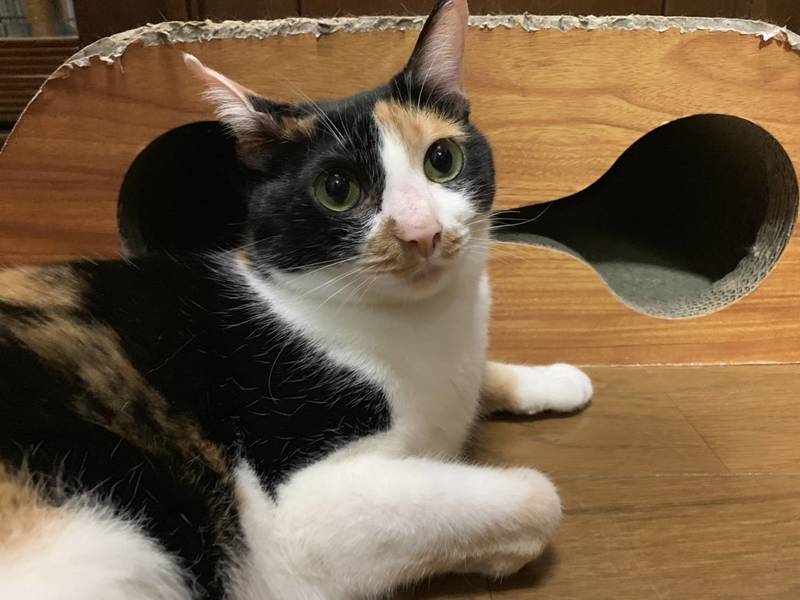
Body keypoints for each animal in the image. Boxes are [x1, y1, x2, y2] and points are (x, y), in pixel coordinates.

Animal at [0, 1, 592, 598]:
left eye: (441, 159)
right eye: (337, 190)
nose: (421, 233)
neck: (427, 326)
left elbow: (484, 377)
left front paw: (557, 380)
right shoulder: (298, 512)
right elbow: (538, 498)